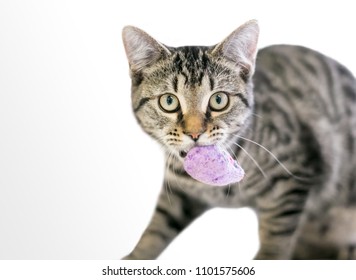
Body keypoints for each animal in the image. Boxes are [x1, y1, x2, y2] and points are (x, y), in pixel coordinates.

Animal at [121, 20, 356, 260]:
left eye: (219, 99)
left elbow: (276, 238)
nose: (195, 133)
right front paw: (135, 256)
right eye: (169, 101)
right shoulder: (178, 192)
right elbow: (156, 228)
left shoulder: (293, 178)